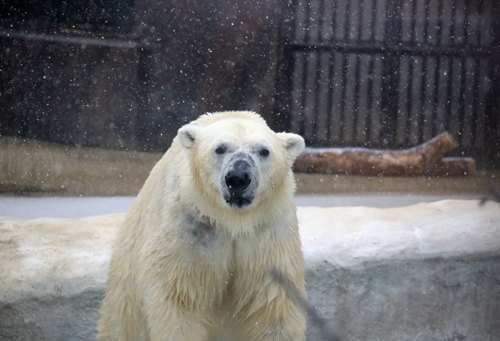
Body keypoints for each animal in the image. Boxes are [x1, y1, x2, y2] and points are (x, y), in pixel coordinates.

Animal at [96, 111, 304, 340]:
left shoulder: (267, 233)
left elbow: (273, 305)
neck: (232, 220)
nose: (238, 177)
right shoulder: (189, 230)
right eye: (220, 148)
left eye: (264, 151)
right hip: (125, 286)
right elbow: (179, 298)